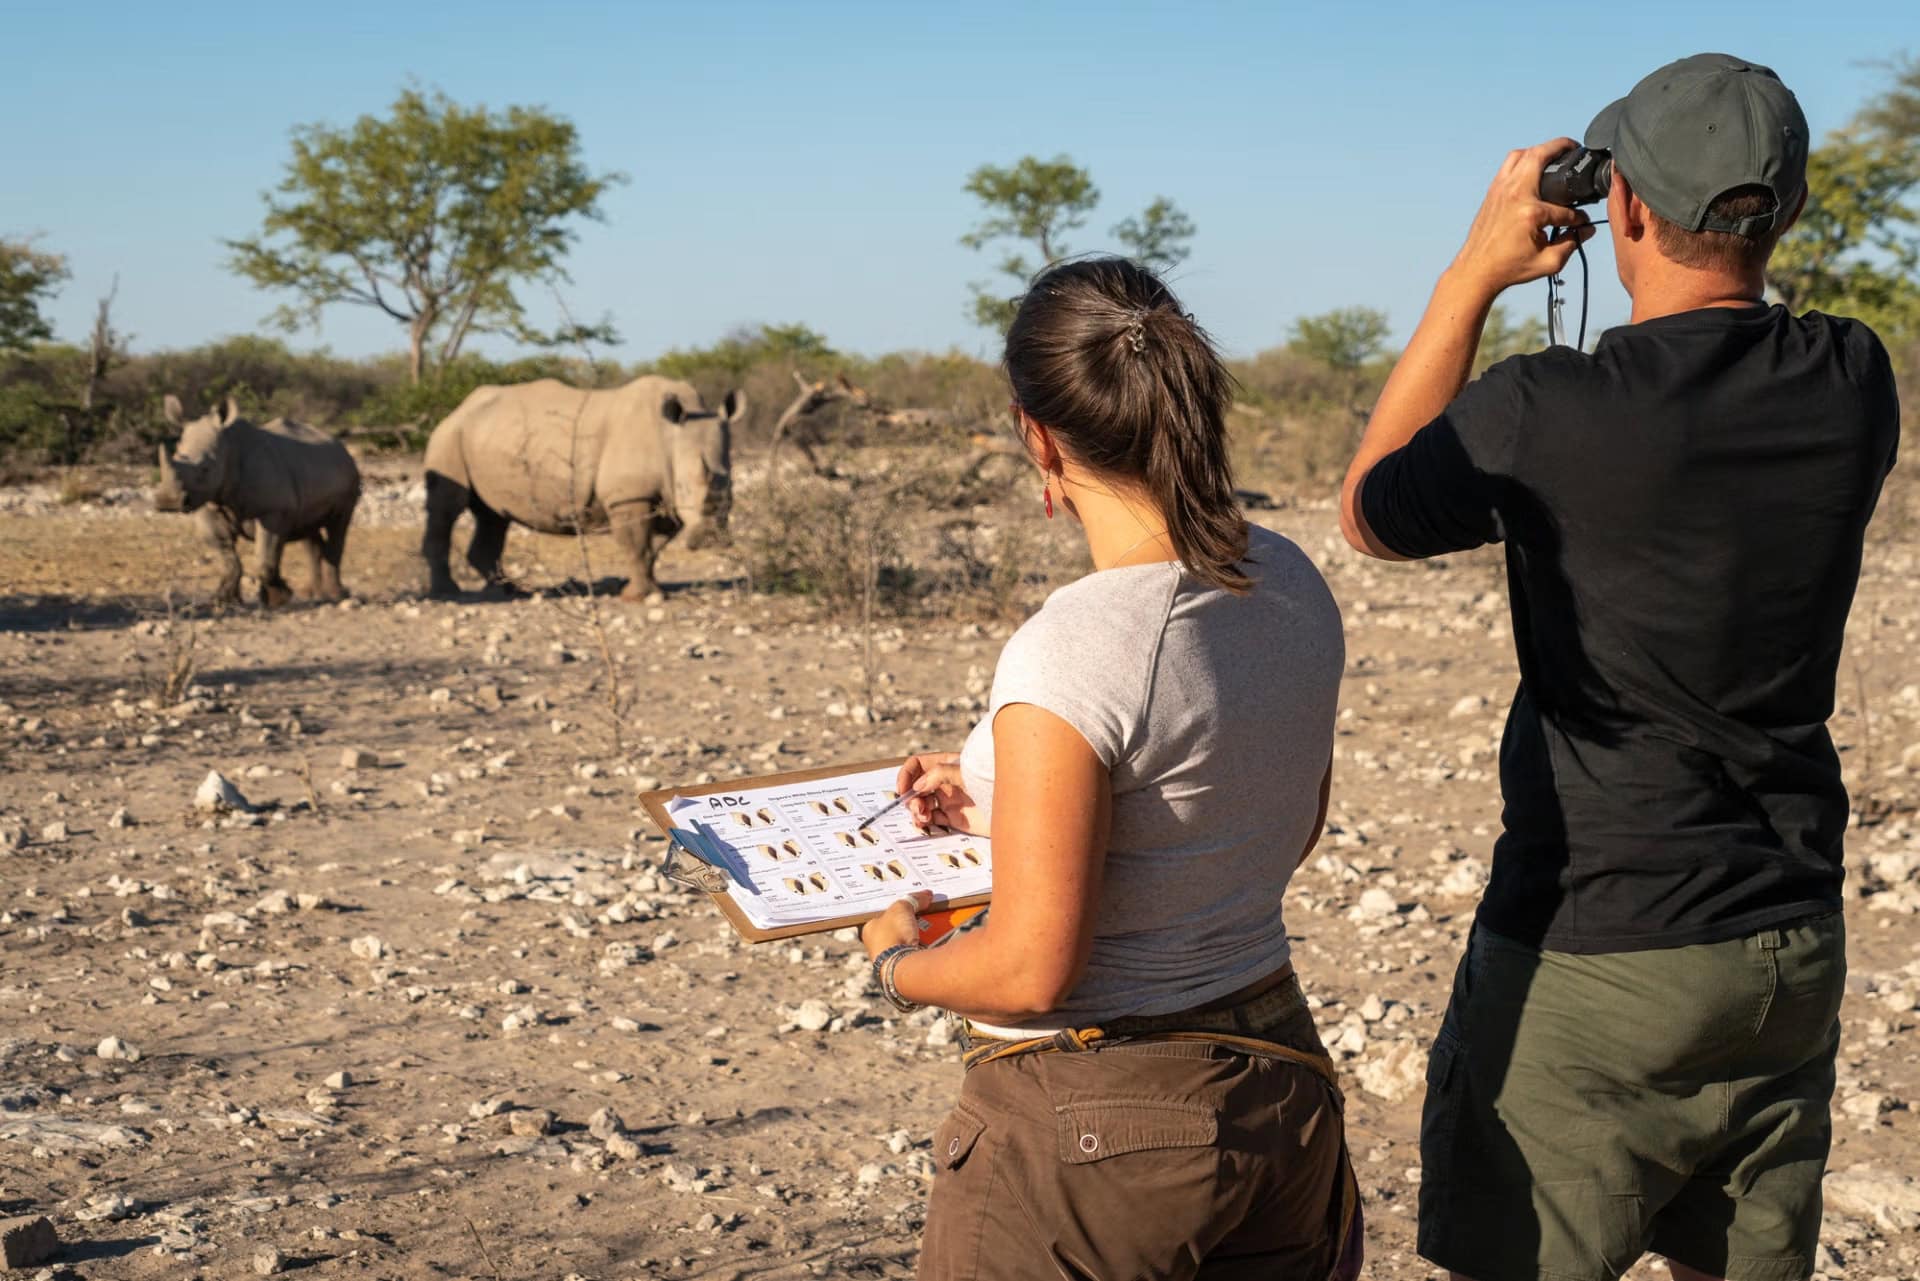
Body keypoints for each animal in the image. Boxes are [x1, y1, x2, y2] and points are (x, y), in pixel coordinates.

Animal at [153, 395, 361, 607]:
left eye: (205, 469)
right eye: (175, 456)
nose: (167, 501)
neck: (229, 448)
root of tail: (339, 444)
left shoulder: (274, 510)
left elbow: (265, 558)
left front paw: (278, 598)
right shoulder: (209, 504)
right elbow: (227, 557)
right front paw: (225, 600)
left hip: (349, 480)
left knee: (338, 526)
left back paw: (336, 595)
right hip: (312, 469)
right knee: (308, 530)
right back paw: (312, 594)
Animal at [421, 374, 742, 600]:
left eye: (732, 488)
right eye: (685, 487)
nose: (712, 539)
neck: (670, 436)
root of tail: (460, 408)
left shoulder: (663, 498)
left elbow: (653, 548)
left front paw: (651, 590)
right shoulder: (628, 497)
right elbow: (637, 545)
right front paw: (640, 597)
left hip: (486, 440)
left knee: (493, 516)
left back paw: (507, 590)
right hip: (449, 436)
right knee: (446, 509)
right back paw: (448, 591)